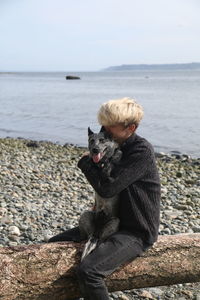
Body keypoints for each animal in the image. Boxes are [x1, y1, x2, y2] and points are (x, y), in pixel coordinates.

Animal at [78, 126, 122, 260]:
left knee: (102, 239)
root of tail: (96, 232)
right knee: (86, 236)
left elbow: (113, 160)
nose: (95, 149)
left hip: (115, 222)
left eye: (102, 140)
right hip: (86, 215)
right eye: (91, 140)